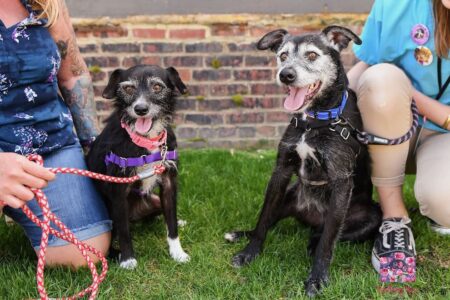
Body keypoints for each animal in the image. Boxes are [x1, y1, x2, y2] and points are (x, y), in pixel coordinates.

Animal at [87, 64, 190, 268]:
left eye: (157, 87)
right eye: (128, 88)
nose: (140, 109)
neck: (146, 140)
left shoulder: (169, 183)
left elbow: (172, 223)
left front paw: (177, 253)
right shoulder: (119, 191)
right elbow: (124, 231)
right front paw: (128, 259)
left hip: (155, 201)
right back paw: (117, 254)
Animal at [225, 27, 380, 296]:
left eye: (312, 55)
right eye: (282, 55)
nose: (285, 75)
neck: (313, 121)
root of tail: (309, 218)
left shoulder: (341, 181)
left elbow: (328, 240)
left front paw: (317, 278)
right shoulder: (280, 172)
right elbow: (263, 219)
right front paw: (249, 253)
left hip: (371, 216)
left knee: (323, 234)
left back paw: (312, 241)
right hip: (288, 197)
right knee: (270, 221)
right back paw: (240, 234)